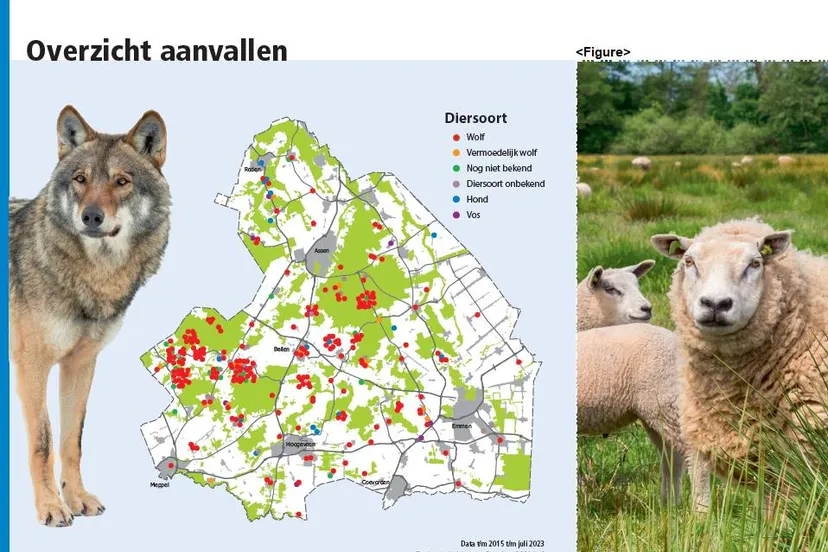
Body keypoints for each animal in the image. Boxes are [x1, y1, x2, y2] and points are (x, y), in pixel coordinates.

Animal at [9, 106, 171, 527]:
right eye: (80, 179)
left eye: (121, 181)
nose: (91, 217)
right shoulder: (32, 365)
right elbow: (43, 442)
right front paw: (50, 507)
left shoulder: (80, 364)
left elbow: (72, 440)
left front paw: (77, 498)